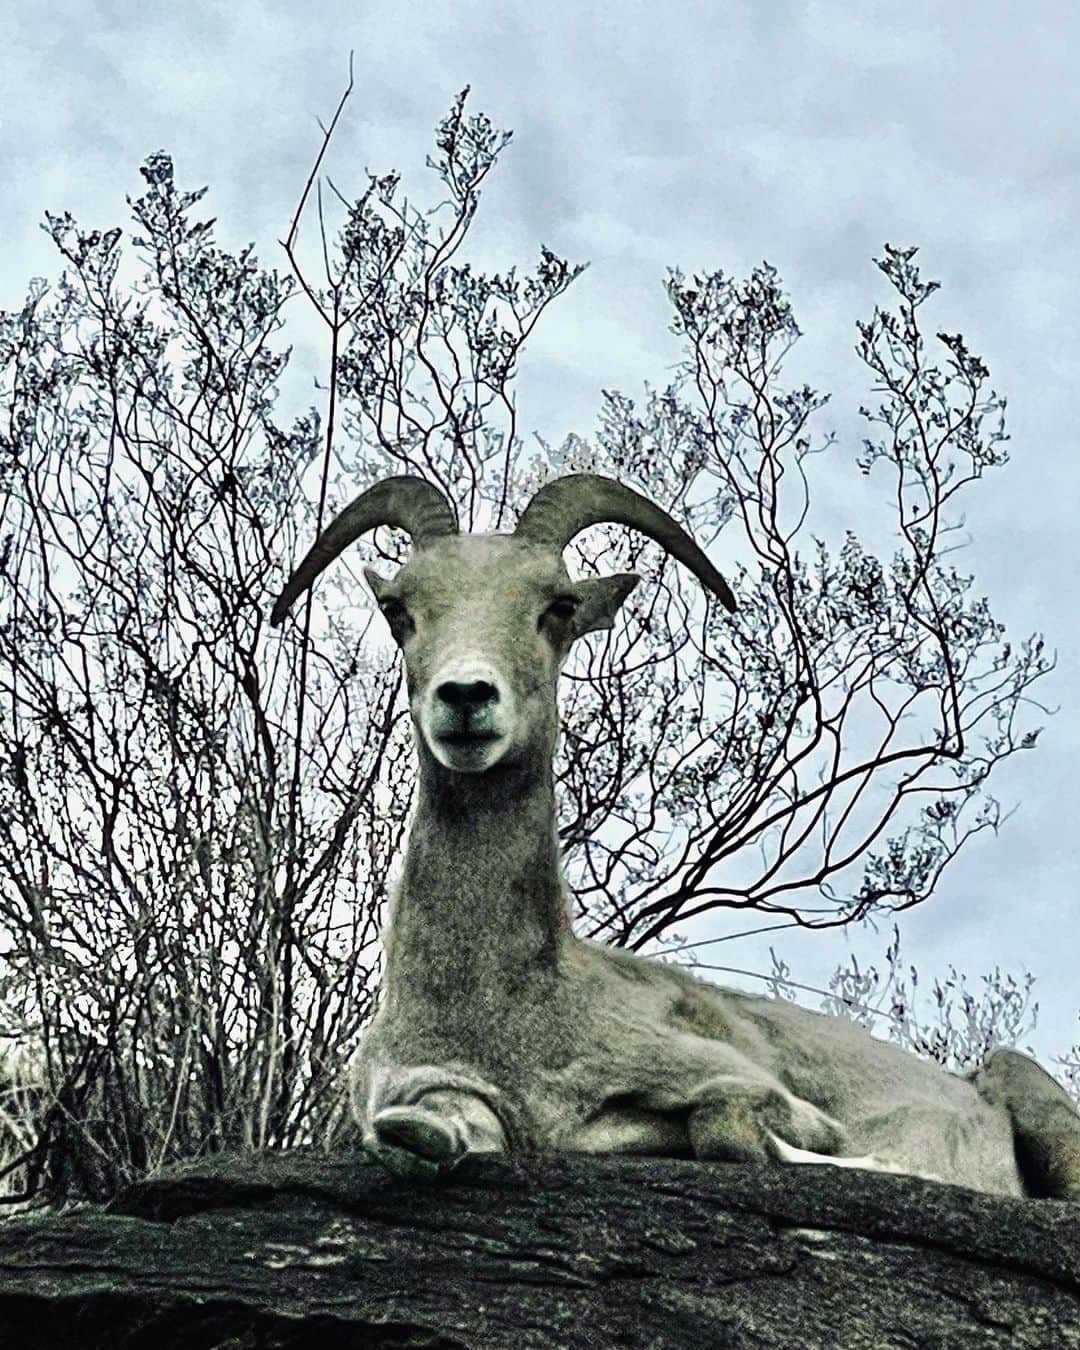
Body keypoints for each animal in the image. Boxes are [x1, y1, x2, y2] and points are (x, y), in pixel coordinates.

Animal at [272, 473, 1080, 1196]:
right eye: (399, 609)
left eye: (558, 605)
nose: (466, 697)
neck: (506, 1013)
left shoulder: (744, 1085)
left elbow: (736, 1127)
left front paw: (899, 1164)